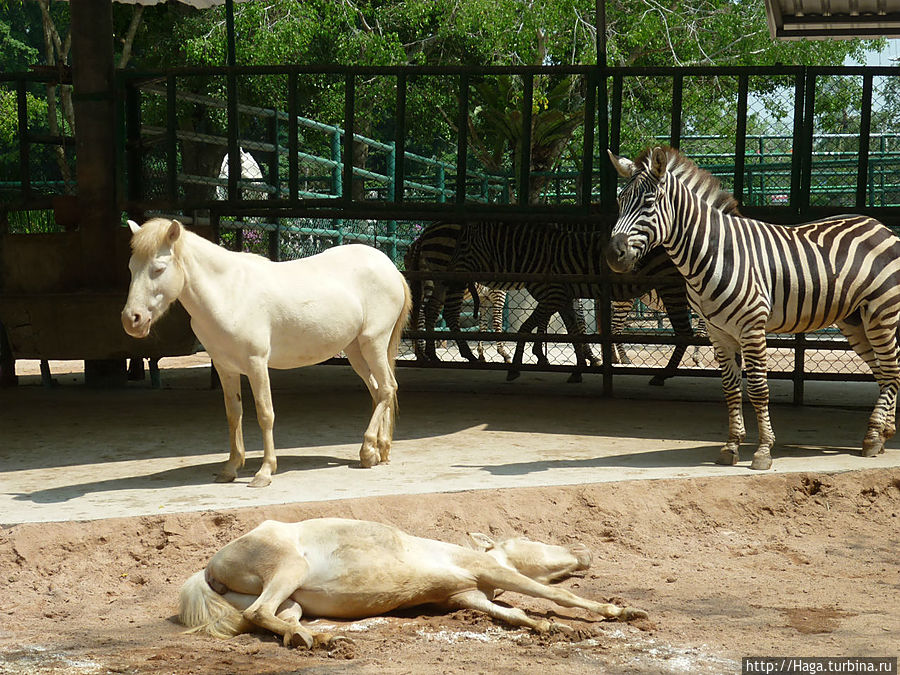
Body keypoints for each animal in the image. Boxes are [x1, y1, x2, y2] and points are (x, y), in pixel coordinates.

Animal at [121, 219, 414, 488]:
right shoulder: (225, 367)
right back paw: (379, 451)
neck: (229, 291)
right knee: (378, 391)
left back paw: (367, 450)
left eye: (159, 269)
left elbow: (265, 414)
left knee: (387, 388)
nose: (131, 320)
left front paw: (264, 472)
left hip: (373, 343)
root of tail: (390, 268)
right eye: (131, 268)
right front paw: (230, 468)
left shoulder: (256, 364)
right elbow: (233, 414)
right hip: (355, 350)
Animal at [179, 520, 652, 648]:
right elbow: (557, 594)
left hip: (292, 599)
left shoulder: (465, 594)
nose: (586, 554)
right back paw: (320, 641)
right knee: (259, 612)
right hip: (288, 569)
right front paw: (621, 612)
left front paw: (542, 627)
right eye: (529, 538)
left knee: (271, 618)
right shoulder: (493, 574)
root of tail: (210, 567)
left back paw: (314, 639)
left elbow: (510, 612)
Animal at [404, 222, 700, 386]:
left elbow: (533, 327)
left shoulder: (555, 296)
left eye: (464, 248)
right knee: (436, 310)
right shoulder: (560, 296)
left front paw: (521, 364)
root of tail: (422, 235)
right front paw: (578, 366)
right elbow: (572, 329)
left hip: (671, 289)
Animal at [604, 144, 900, 470]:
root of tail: (880, 226)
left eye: (649, 202)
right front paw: (731, 446)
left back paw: (873, 438)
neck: (714, 253)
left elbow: (758, 388)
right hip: (854, 321)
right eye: (619, 201)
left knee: (892, 369)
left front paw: (763, 451)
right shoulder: (717, 332)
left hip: (882, 314)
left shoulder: (752, 328)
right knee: (884, 372)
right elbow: (730, 388)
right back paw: (882, 434)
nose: (613, 255)